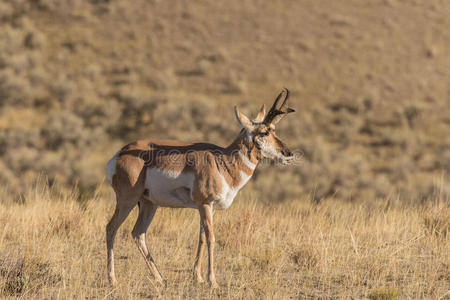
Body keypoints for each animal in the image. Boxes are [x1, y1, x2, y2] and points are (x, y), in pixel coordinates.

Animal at [106, 88, 296, 288]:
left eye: (274, 130)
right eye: (264, 132)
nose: (289, 154)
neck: (223, 161)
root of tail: (119, 154)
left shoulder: (207, 208)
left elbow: (202, 237)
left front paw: (197, 276)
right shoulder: (205, 204)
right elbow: (211, 238)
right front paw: (212, 280)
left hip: (149, 204)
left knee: (138, 233)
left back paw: (159, 278)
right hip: (127, 201)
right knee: (111, 228)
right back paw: (113, 280)